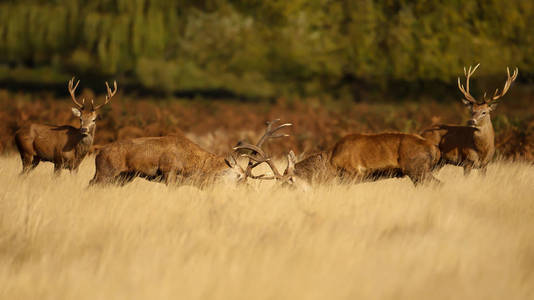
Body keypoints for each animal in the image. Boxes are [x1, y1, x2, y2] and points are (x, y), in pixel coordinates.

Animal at [91, 119, 294, 185]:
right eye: (238, 176)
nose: (247, 189)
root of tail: (98, 152)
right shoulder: (169, 172)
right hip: (105, 172)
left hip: (123, 177)